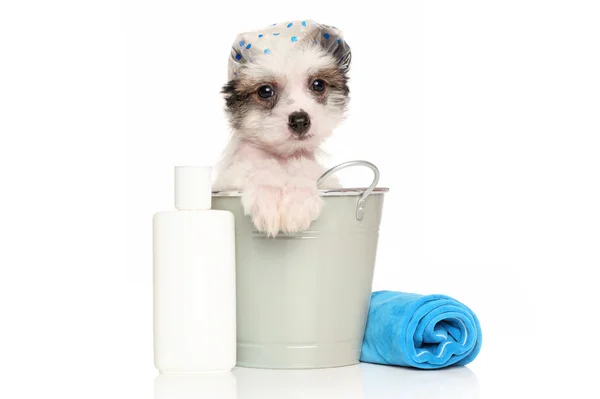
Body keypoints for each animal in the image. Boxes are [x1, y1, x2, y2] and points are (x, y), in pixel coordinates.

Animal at [213, 20, 352, 236]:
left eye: (318, 84)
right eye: (265, 91)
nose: (300, 120)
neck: (282, 158)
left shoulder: (325, 179)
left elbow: (306, 169)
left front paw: (298, 200)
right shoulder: (229, 178)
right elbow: (258, 168)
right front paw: (267, 195)